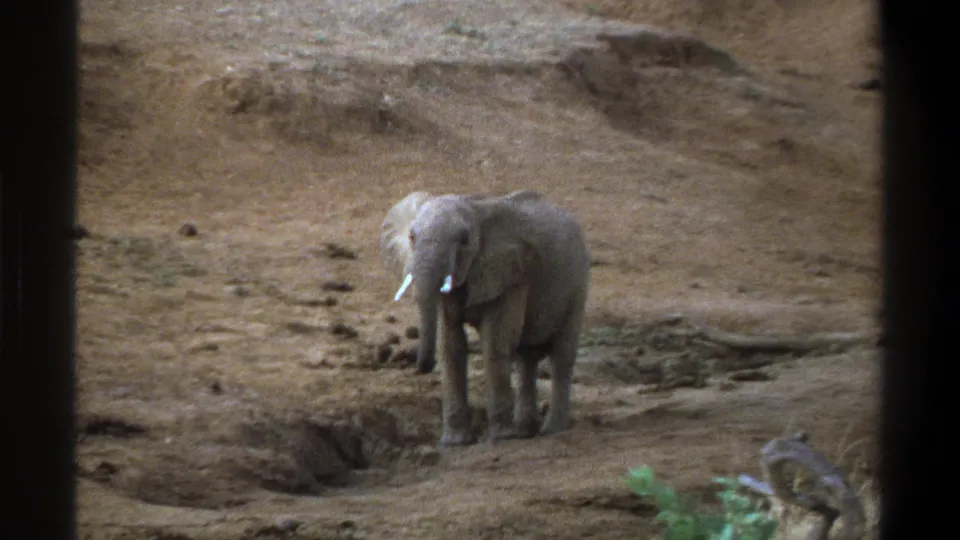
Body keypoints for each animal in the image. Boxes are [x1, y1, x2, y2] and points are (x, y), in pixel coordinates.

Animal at [379, 189, 591, 446]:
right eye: (411, 237)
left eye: (464, 240)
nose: (420, 367)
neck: (475, 210)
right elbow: (450, 346)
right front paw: (455, 442)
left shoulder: (512, 274)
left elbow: (495, 343)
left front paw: (502, 438)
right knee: (526, 357)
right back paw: (525, 431)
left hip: (578, 284)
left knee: (561, 355)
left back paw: (550, 430)